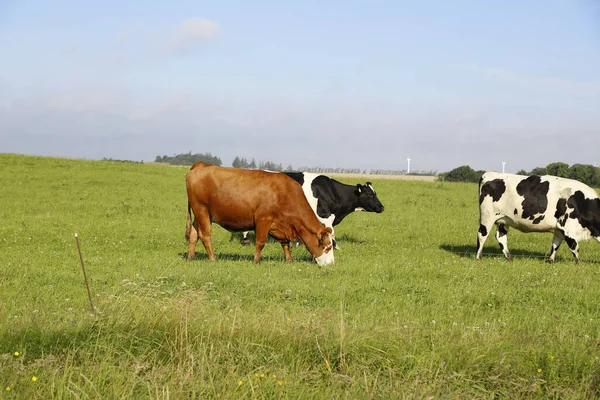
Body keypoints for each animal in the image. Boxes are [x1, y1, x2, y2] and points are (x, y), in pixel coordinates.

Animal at [185, 162, 336, 266]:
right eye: (328, 247)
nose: (331, 264)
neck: (284, 193)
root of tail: (200, 165)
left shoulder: (279, 225)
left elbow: (285, 243)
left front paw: (289, 259)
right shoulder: (263, 220)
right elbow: (260, 242)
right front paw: (256, 261)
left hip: (199, 214)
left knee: (193, 233)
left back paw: (191, 257)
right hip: (202, 210)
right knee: (205, 236)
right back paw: (213, 258)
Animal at [240, 173, 384, 250]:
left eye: (375, 193)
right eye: (370, 194)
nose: (382, 207)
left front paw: (297, 243)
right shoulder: (325, 216)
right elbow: (332, 233)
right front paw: (335, 247)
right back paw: (246, 241)